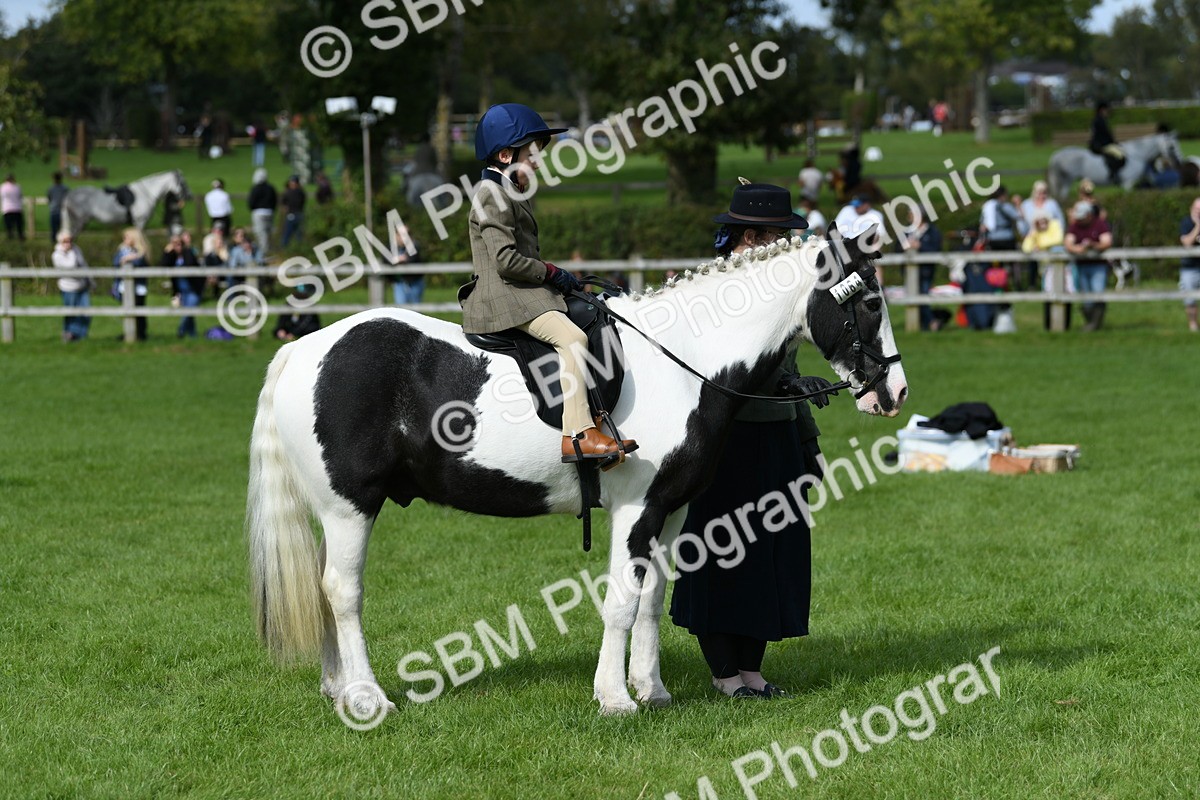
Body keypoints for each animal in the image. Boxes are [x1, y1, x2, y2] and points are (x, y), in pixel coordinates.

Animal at [62, 170, 190, 235]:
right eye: (183, 183)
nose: (190, 196)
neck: (147, 193)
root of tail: (70, 195)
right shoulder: (140, 223)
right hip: (78, 222)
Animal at [245, 226, 908, 718]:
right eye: (870, 303)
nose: (895, 392)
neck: (682, 359)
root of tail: (306, 348)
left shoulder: (670, 511)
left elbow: (652, 598)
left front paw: (652, 690)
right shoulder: (634, 511)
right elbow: (620, 601)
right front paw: (615, 698)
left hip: (334, 512)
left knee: (324, 591)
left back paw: (339, 690)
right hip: (349, 507)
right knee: (342, 592)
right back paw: (367, 699)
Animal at [1047, 132, 1181, 202]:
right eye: (1171, 147)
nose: (1178, 162)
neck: (1137, 154)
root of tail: (1056, 155)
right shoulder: (1128, 183)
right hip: (1067, 180)